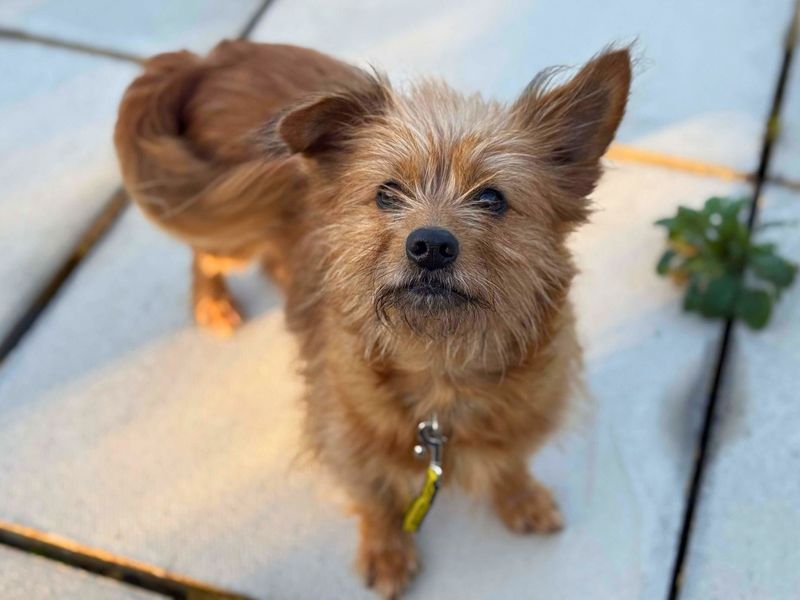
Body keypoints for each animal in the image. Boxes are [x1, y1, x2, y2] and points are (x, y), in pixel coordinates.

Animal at [115, 39, 636, 596]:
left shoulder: (527, 411)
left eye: (492, 198)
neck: (440, 368)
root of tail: (213, 57)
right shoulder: (344, 437)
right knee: (202, 253)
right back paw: (212, 301)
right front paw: (387, 552)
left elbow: (511, 461)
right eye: (387, 193)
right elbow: (375, 497)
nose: (430, 245)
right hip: (227, 222)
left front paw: (521, 497)